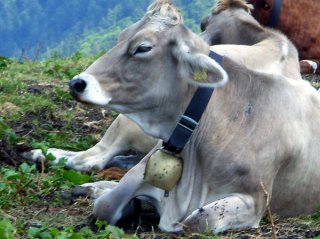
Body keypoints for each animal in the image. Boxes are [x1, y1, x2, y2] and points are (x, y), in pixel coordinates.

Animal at [29, 0, 320, 232]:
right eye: (120, 37)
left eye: (143, 48)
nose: (77, 83)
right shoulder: (144, 169)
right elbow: (107, 204)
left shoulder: (256, 199)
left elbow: (197, 220)